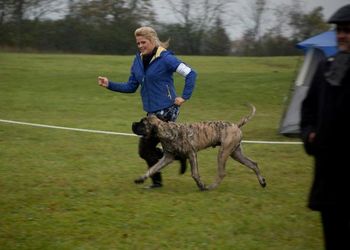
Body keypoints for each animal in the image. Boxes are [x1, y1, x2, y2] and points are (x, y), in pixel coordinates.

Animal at [131, 104, 266, 190]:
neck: (167, 132)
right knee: (253, 164)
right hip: (236, 153)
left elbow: (194, 174)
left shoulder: (192, 154)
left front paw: (201, 185)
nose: (132, 124)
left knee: (222, 173)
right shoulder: (167, 158)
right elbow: (153, 168)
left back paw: (210, 187)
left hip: (223, 153)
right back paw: (262, 182)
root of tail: (236, 125)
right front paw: (141, 178)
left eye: (143, 123)